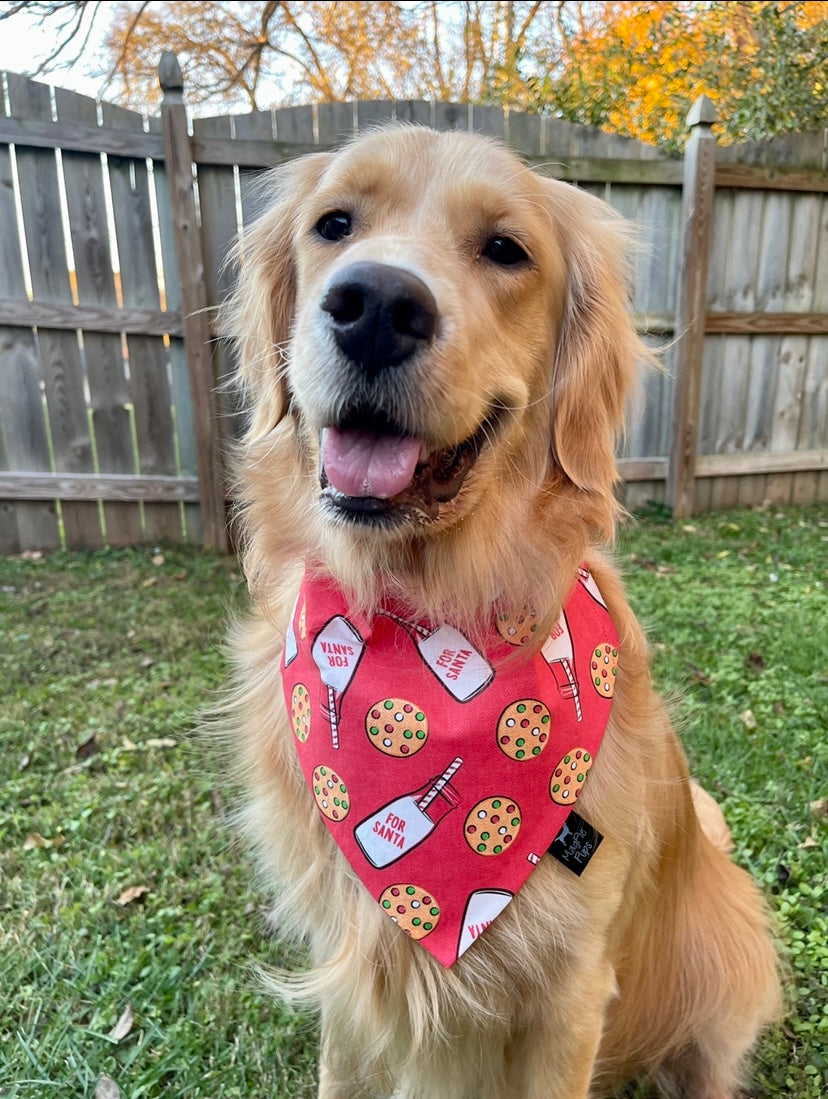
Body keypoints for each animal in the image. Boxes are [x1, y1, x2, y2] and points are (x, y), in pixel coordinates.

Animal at [223, 124, 778, 1094]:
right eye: (335, 224)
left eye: (506, 249)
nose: (374, 306)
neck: (417, 615)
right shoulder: (351, 976)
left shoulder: (570, 994)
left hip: (725, 957)